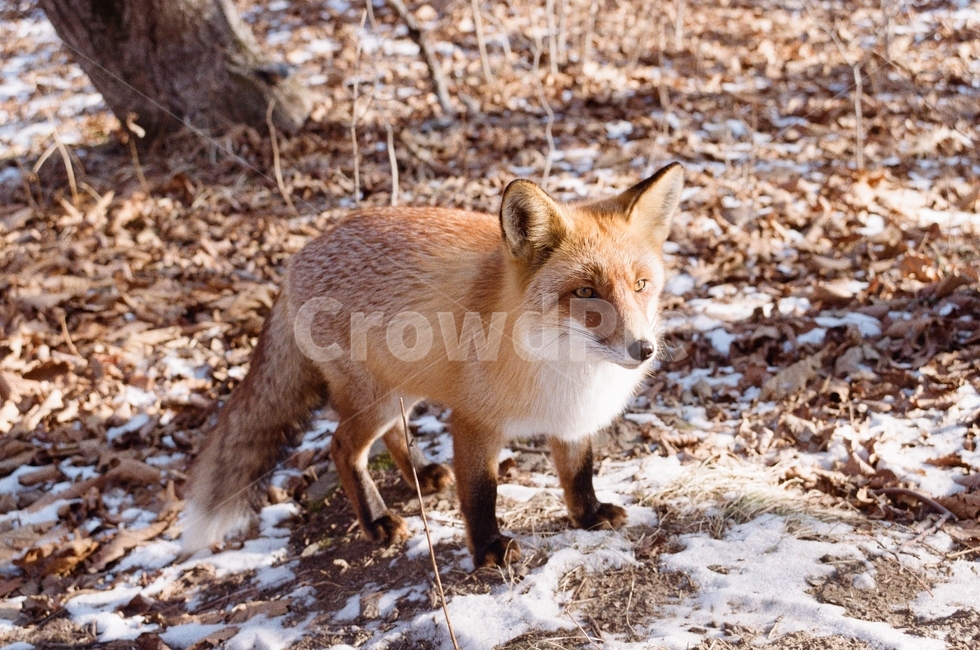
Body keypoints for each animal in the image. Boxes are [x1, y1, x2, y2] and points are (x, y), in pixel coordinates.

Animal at [183, 162, 683, 568]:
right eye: (584, 292)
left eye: (640, 284)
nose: (643, 349)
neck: (565, 369)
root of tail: (293, 263)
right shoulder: (474, 420)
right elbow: (480, 494)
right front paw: (488, 551)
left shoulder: (572, 419)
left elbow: (578, 472)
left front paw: (588, 514)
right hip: (378, 398)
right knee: (342, 446)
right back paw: (377, 520)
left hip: (406, 384)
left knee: (391, 434)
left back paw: (420, 474)